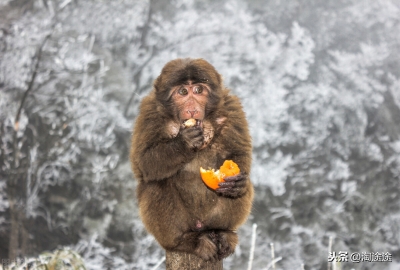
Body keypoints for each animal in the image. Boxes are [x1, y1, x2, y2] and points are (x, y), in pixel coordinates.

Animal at [130, 58, 253, 262]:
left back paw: (224, 232)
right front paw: (185, 142)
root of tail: (200, 226)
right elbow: (144, 163)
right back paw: (185, 241)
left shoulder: (231, 107)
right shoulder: (149, 113)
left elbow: (240, 153)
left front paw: (237, 182)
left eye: (198, 90)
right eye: (182, 92)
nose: (192, 109)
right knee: (157, 183)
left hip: (210, 219)